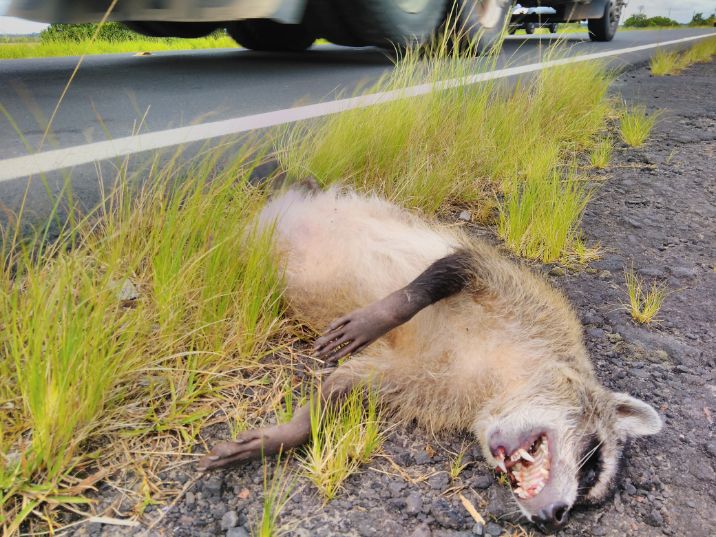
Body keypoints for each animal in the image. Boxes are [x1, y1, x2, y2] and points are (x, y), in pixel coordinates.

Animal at [199, 186, 664, 528]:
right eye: (593, 461)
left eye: (587, 497)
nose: (556, 516)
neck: (500, 380)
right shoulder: (515, 293)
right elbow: (451, 269)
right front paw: (384, 313)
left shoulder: (414, 378)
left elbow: (340, 388)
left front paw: (288, 432)